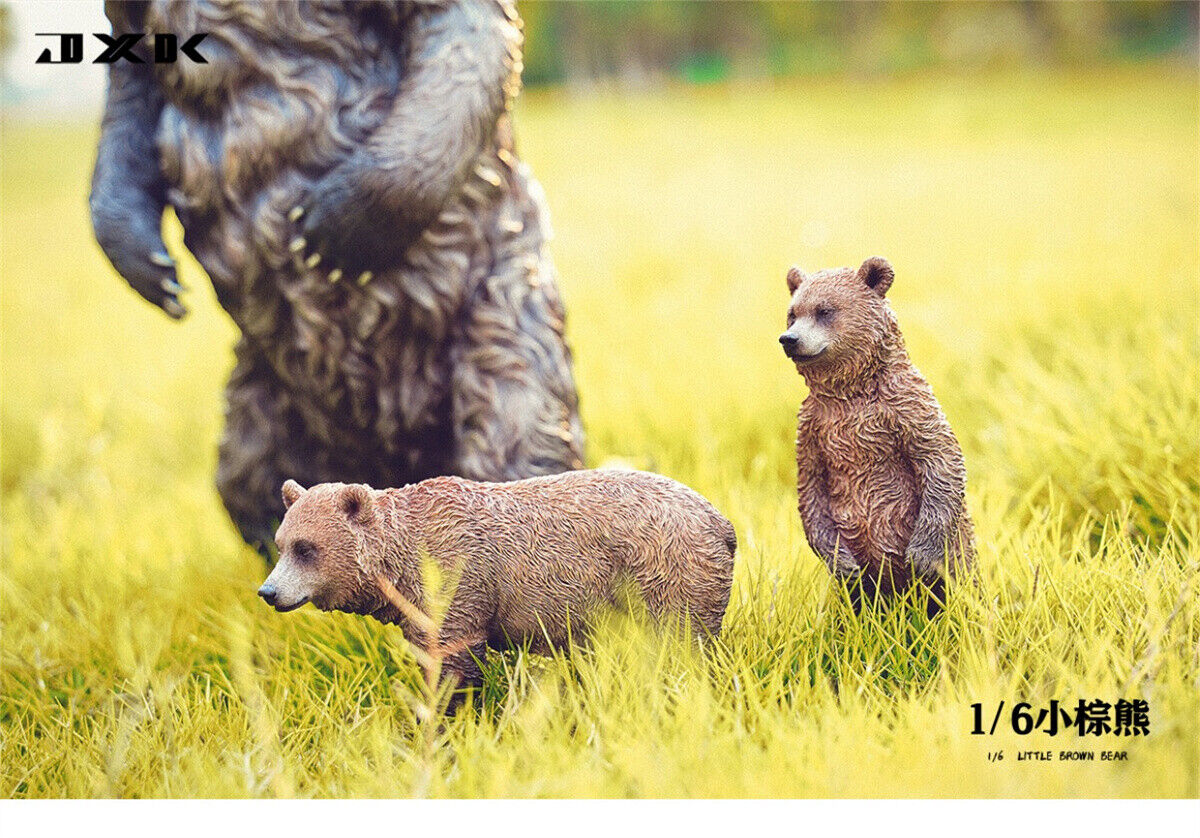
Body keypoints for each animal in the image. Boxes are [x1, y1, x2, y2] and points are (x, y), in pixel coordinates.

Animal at [88, 1, 584, 553]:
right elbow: (128, 102)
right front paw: (150, 268)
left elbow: (463, 49)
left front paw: (329, 230)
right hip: (253, 414)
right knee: (252, 485)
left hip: (505, 338)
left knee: (513, 444)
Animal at [257, 470, 737, 687]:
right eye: (281, 544)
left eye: (306, 548)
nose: (268, 591)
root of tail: (723, 523)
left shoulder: (459, 581)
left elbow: (454, 667)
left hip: (665, 573)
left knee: (681, 649)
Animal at [778, 257, 974, 614]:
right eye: (793, 312)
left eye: (825, 310)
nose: (789, 339)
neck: (849, 391)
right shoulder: (813, 426)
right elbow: (810, 486)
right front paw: (841, 561)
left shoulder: (905, 405)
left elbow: (940, 459)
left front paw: (921, 554)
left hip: (958, 559)